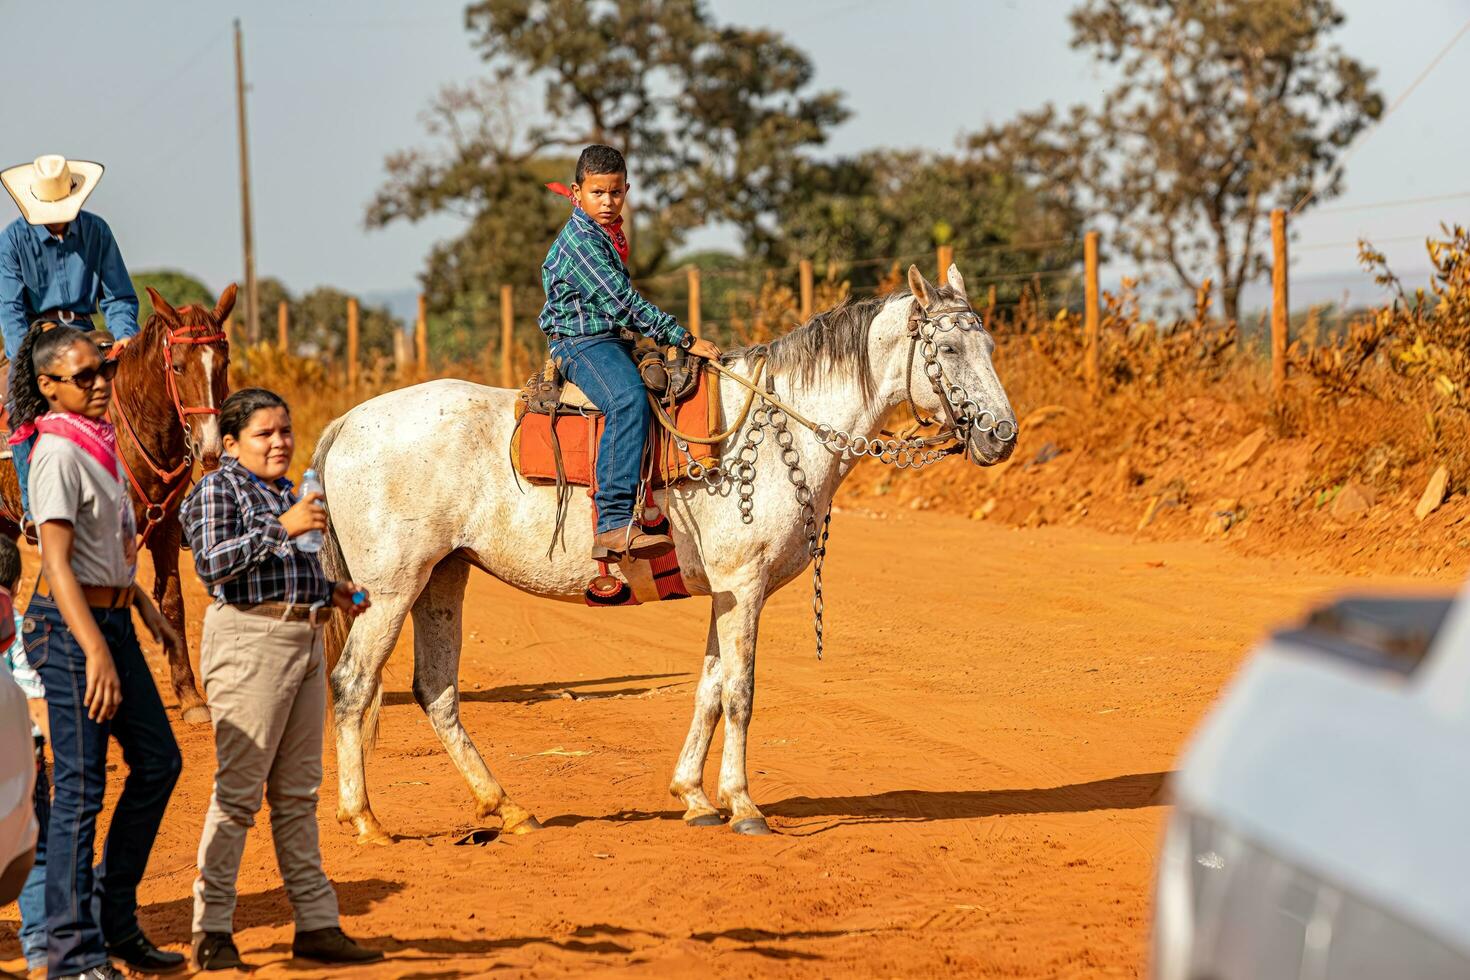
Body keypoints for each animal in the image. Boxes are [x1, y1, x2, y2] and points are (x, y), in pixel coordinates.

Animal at [0, 283, 232, 719]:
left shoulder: (167, 528)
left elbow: (172, 602)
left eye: (223, 365)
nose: (209, 449)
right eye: (177, 367)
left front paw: (189, 696)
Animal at [316, 265, 1017, 846]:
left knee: (435, 690)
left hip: (443, 577)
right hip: (392, 589)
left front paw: (695, 798)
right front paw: (743, 806)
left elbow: (708, 688)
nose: (1002, 435)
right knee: (353, 685)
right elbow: (740, 691)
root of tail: (347, 424)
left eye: (987, 346)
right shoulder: (746, 584)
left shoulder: (728, 592)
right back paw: (366, 820)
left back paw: (507, 808)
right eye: (948, 350)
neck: (775, 427)